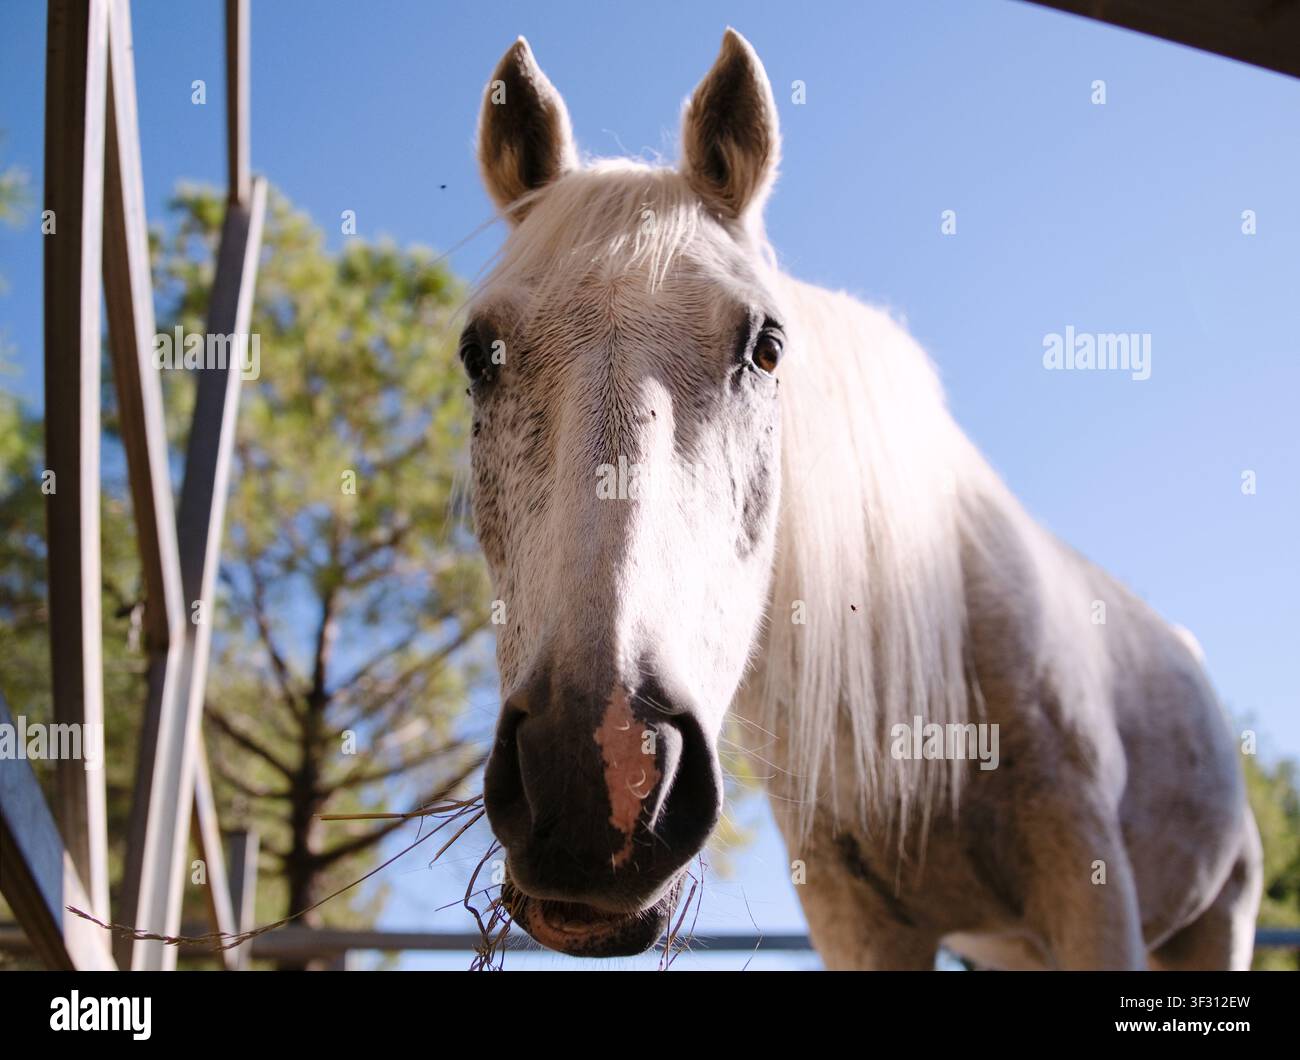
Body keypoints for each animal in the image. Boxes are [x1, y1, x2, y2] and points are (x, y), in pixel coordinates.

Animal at [464, 28, 1263, 969]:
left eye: (767, 348)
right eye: (478, 353)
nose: (598, 780)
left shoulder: (1092, 888)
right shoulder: (856, 920)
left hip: (1220, 917)